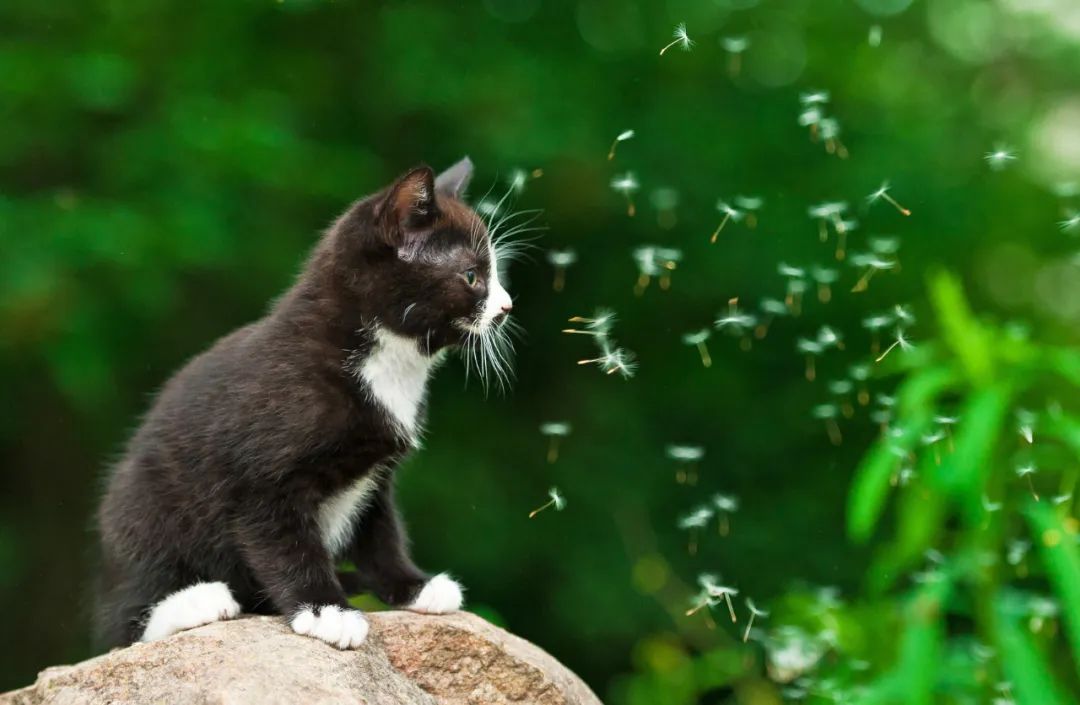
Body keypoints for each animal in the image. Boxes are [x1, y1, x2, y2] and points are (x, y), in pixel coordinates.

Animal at [95, 157, 516, 647]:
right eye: (472, 276)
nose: (506, 307)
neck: (386, 365)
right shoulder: (260, 481)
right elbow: (289, 547)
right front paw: (326, 610)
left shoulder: (376, 476)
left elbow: (382, 535)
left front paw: (413, 586)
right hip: (144, 509)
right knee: (122, 624)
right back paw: (197, 601)